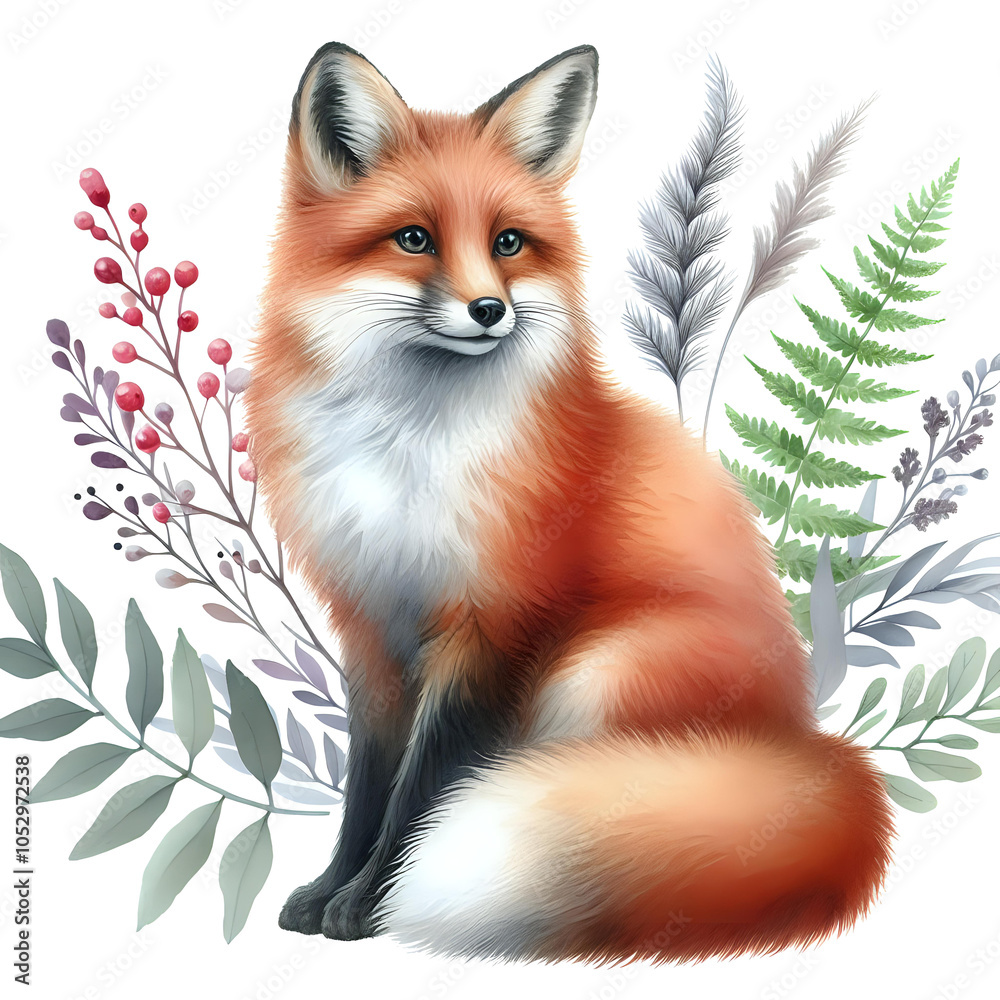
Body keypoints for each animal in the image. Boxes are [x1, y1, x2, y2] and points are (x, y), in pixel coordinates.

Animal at [243, 41, 894, 963]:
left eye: (508, 242)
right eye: (414, 239)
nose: (489, 310)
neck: (406, 452)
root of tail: (809, 743)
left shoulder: (494, 624)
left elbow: (421, 788)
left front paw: (369, 904)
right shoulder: (368, 623)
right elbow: (367, 784)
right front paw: (331, 888)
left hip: (598, 674)